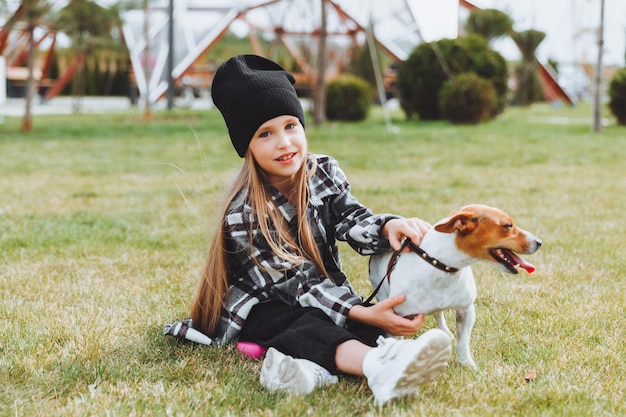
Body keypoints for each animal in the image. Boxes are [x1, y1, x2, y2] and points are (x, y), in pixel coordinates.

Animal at [368, 203, 540, 368]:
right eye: (508, 226)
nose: (539, 242)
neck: (442, 266)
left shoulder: (466, 310)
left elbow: (463, 342)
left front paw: (466, 364)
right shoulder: (398, 318)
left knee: (438, 314)